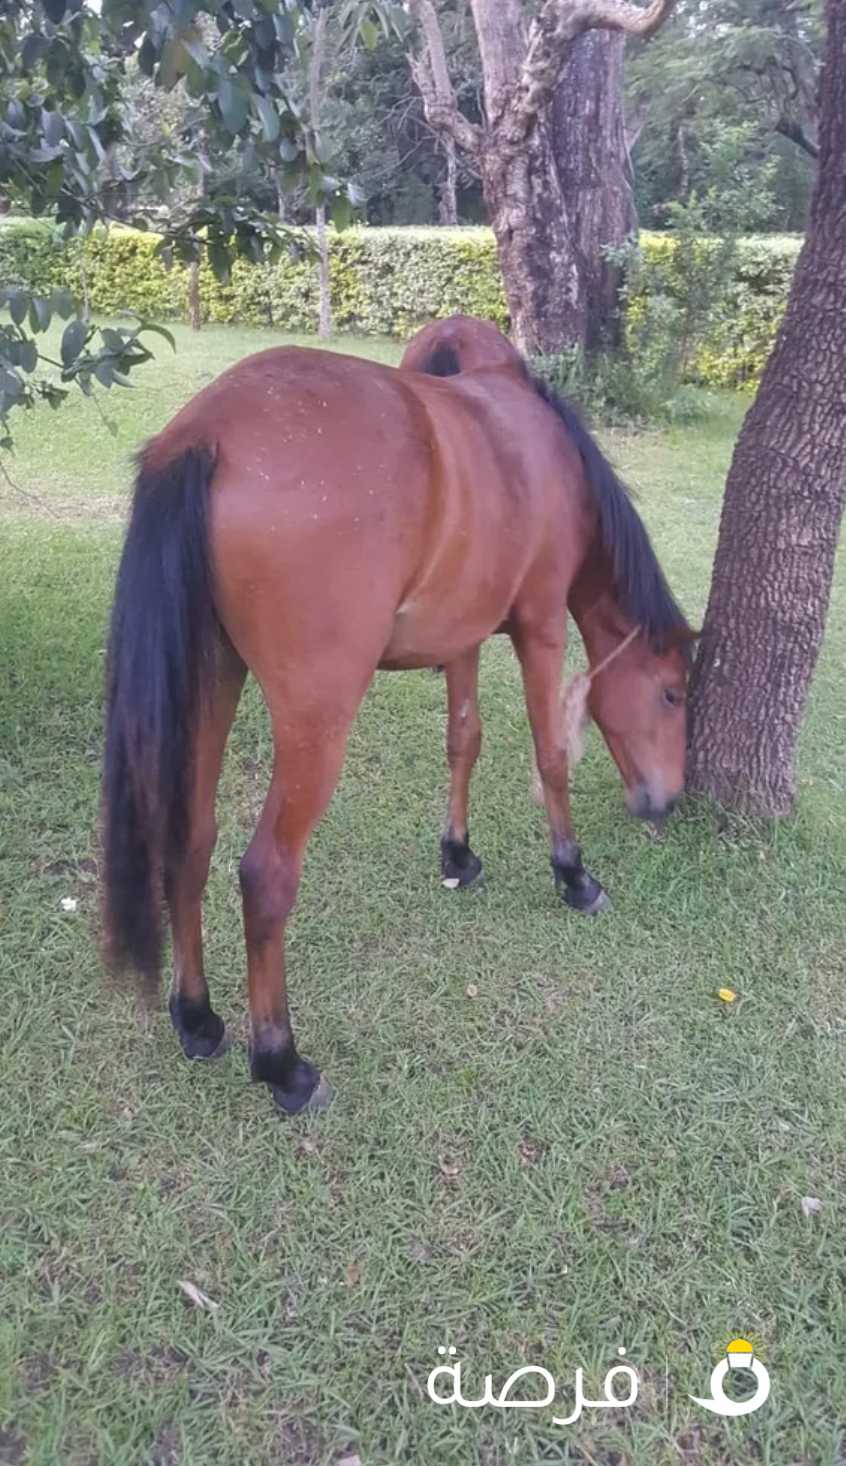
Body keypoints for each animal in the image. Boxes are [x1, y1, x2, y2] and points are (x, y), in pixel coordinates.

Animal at [100, 309, 692, 1108]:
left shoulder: (464, 634)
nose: (666, 800)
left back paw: (196, 1016)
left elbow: (465, 738)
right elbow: (550, 755)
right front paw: (572, 874)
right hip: (315, 723)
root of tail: (206, 433)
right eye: (671, 693)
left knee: (192, 839)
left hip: (212, 679)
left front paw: (458, 852)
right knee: (265, 876)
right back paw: (280, 1061)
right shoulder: (540, 627)